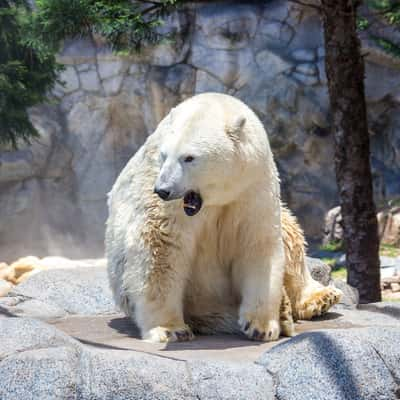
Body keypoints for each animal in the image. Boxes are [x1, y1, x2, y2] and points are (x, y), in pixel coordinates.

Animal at [106, 92, 340, 342]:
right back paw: (283, 312)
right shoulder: (168, 204)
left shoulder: (252, 188)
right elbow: (161, 249)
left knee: (290, 235)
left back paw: (319, 298)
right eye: (164, 154)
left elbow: (257, 245)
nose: (162, 189)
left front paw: (260, 326)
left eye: (189, 157)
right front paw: (170, 329)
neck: (215, 197)